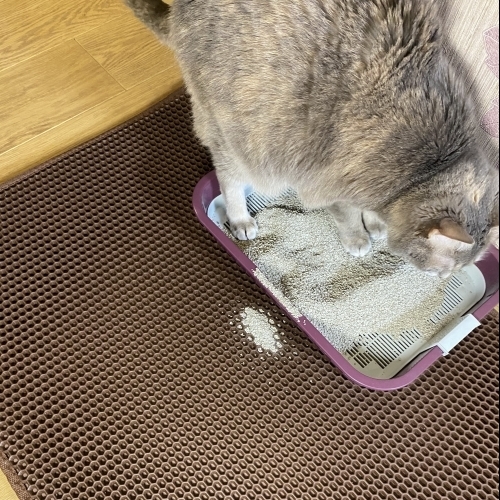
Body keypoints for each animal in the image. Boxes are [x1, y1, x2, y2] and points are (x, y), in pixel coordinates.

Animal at [125, 0, 499, 278]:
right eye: (441, 269)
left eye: (452, 272)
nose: (441, 279)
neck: (425, 168)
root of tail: (178, 12)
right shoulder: (331, 182)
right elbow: (348, 215)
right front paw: (358, 237)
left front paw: (375, 224)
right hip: (236, 132)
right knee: (228, 178)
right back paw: (241, 220)